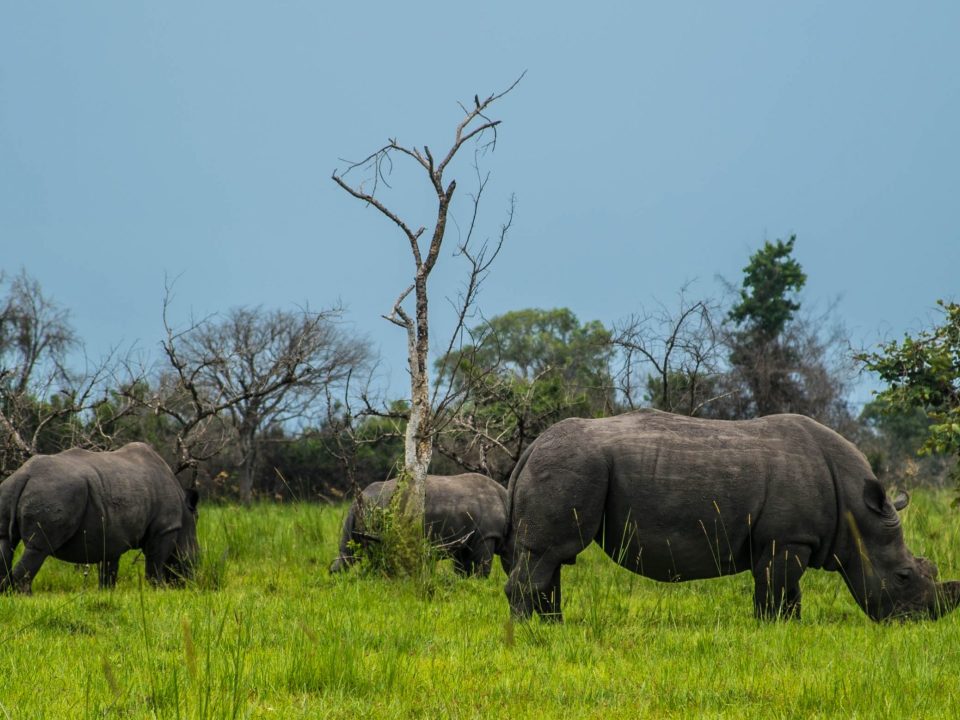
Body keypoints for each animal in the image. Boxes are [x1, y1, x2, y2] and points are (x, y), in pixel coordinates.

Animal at [0, 442, 199, 593]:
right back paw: (25, 596)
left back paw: (6, 593)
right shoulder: (166, 528)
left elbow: (109, 566)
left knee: (5, 542)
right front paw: (158, 590)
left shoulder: (113, 534)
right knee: (39, 548)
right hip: (54, 492)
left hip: (10, 489)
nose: (193, 580)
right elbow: (156, 561)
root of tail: (25, 475)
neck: (185, 512)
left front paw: (106, 592)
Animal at [330, 473, 508, 577]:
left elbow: (462, 570)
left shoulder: (465, 539)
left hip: (363, 510)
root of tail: (360, 498)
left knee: (348, 552)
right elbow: (482, 568)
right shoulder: (486, 535)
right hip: (379, 509)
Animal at [503, 410, 960, 622]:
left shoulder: (787, 539)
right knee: (548, 553)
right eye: (904, 576)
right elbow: (776, 588)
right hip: (573, 465)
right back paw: (533, 633)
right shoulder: (787, 539)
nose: (922, 621)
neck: (855, 511)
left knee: (552, 558)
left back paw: (554, 627)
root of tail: (532, 447)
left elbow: (787, 590)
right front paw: (771, 628)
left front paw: (790, 628)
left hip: (570, 467)